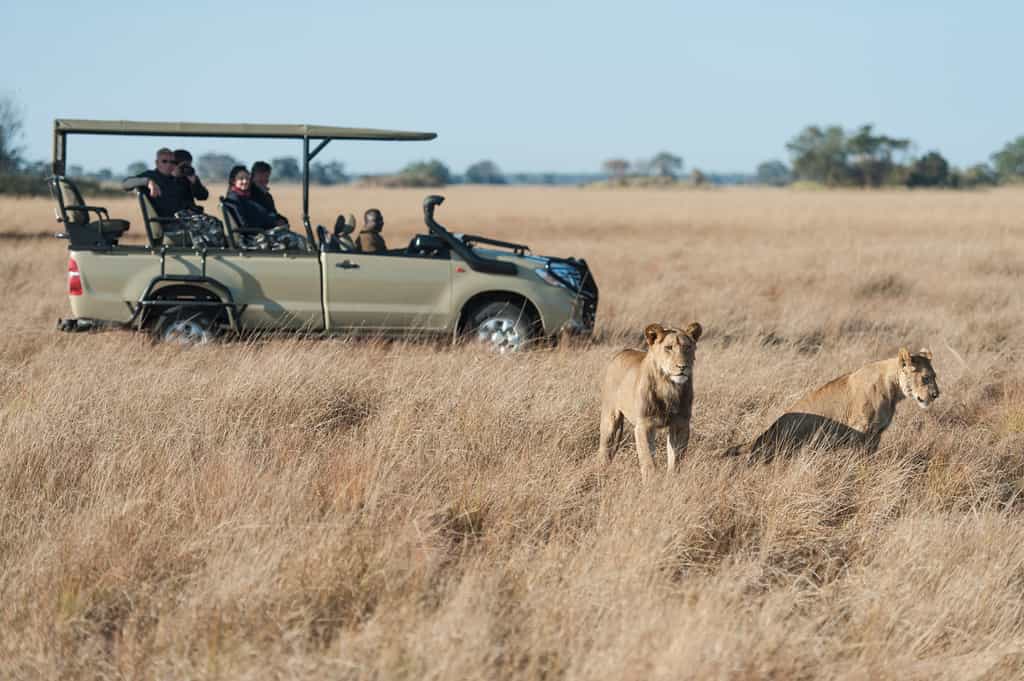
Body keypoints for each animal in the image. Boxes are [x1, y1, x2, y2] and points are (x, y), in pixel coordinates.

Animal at [598, 322, 703, 479]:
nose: (683, 366)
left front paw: (673, 479)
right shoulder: (644, 425)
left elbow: (676, 459)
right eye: (668, 348)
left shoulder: (681, 423)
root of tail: (621, 352)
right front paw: (652, 482)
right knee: (604, 448)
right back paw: (600, 471)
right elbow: (648, 461)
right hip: (610, 418)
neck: (668, 386)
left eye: (688, 347)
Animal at [724, 347, 940, 461]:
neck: (894, 389)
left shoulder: (876, 434)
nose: (936, 394)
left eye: (935, 376)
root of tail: (765, 434)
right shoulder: (861, 430)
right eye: (925, 378)